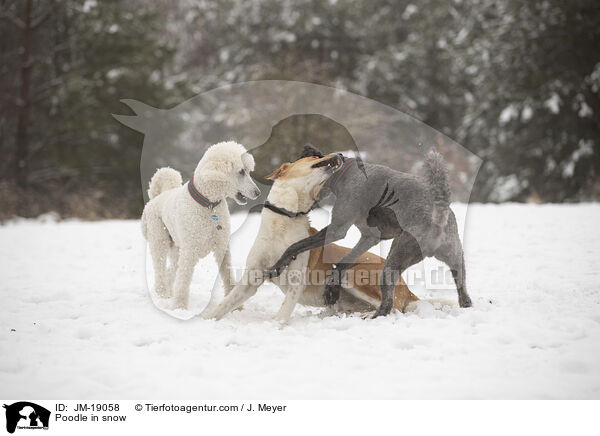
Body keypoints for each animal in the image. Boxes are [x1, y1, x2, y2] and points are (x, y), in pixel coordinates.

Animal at [202, 152, 418, 322]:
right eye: (314, 157)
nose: (340, 155)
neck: (285, 221)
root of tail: (409, 292)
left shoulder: (296, 280)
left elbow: (283, 313)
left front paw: (276, 328)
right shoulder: (251, 279)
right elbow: (223, 305)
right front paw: (203, 320)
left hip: (352, 274)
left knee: (393, 307)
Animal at [264, 143, 472, 316]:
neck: (346, 173)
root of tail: (439, 216)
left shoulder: (338, 229)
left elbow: (296, 245)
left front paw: (276, 267)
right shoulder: (369, 237)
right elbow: (342, 262)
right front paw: (332, 289)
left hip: (394, 261)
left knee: (388, 305)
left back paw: (373, 317)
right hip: (456, 260)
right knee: (464, 295)